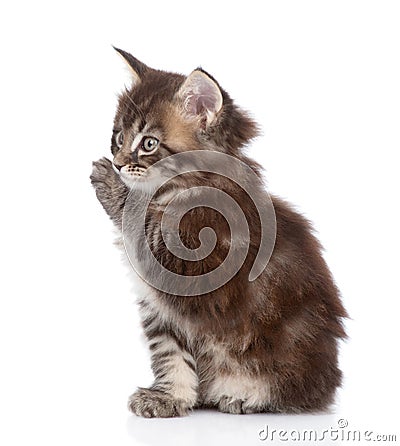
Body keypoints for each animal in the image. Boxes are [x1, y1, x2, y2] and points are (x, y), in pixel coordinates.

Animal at [90, 48, 346, 418]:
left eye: (149, 143)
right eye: (119, 137)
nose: (119, 164)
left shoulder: (196, 263)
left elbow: (141, 220)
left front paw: (114, 188)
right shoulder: (160, 310)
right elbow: (171, 355)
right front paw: (169, 398)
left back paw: (244, 397)